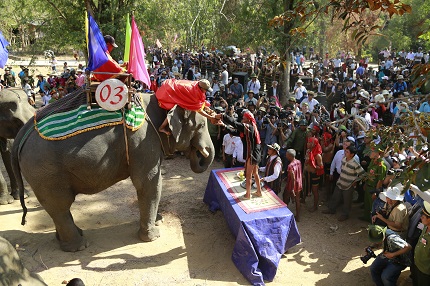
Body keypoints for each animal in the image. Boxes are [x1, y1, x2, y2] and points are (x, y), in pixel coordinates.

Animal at [12, 90, 215, 251]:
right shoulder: (143, 142)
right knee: (60, 206)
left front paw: (159, 220)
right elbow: (149, 183)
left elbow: (150, 185)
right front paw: (152, 236)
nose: (200, 152)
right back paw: (78, 247)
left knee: (58, 208)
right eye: (202, 125)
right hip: (45, 172)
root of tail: (21, 134)